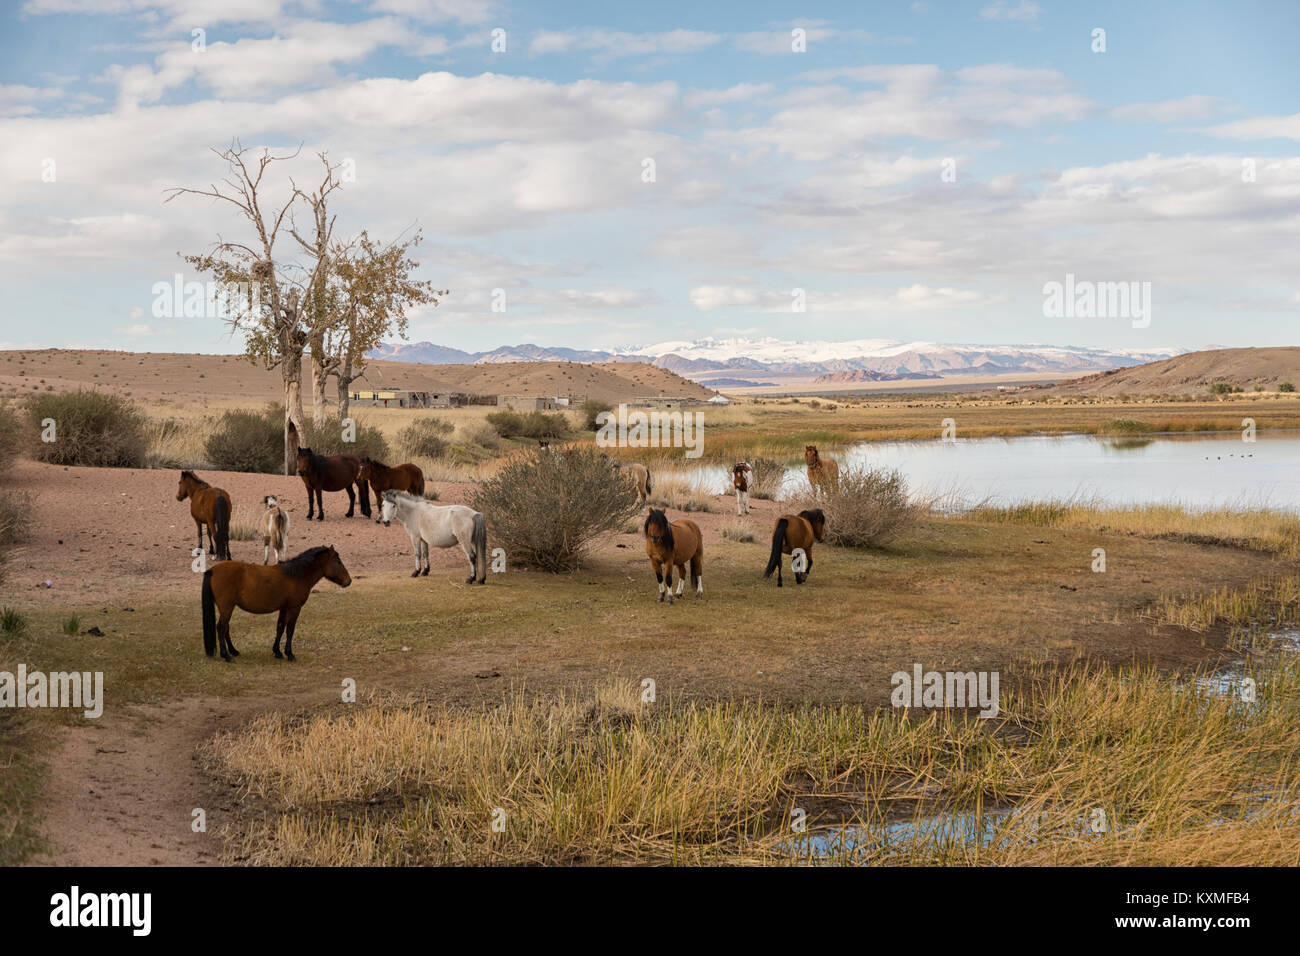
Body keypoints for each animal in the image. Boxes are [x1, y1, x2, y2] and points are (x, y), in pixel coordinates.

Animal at [201, 545, 351, 662]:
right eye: (338, 561)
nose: (348, 581)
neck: (296, 575)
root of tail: (212, 570)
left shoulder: (284, 608)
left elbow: (280, 627)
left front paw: (277, 651)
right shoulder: (294, 608)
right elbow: (290, 630)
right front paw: (289, 654)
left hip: (227, 608)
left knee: (226, 628)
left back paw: (233, 651)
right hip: (227, 607)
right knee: (221, 627)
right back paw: (226, 655)